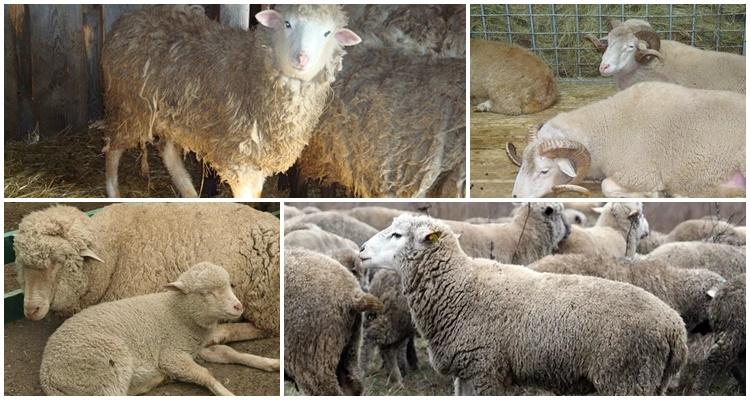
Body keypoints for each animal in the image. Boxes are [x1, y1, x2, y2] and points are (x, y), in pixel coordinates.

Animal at [13, 203, 280, 337]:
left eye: (59, 261)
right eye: (22, 264)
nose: (30, 310)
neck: (112, 252)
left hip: (264, 304)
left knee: (266, 329)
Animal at [39, 262, 280, 395]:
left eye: (230, 285)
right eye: (206, 293)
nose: (238, 306)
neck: (180, 313)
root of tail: (46, 374)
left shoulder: (196, 348)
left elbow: (232, 353)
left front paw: (270, 363)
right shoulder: (172, 355)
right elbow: (205, 375)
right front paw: (227, 393)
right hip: (105, 365)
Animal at [101, 5, 361, 198]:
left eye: (327, 33)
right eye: (287, 24)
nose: (302, 58)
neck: (251, 72)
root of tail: (129, 18)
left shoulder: (256, 162)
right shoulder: (238, 161)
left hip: (168, 115)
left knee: (167, 152)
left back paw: (189, 192)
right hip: (130, 107)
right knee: (113, 148)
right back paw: (114, 193)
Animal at [360, 215, 688, 395]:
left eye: (397, 235)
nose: (361, 250)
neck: (459, 285)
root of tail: (675, 328)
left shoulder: (487, 369)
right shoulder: (465, 371)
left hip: (627, 377)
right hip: (651, 380)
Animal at [507, 81, 745, 198]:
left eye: (544, 171)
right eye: (522, 166)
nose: (516, 197)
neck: (608, 128)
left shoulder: (642, 174)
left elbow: (607, 186)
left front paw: (652, 194)